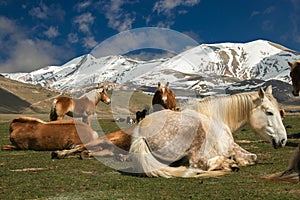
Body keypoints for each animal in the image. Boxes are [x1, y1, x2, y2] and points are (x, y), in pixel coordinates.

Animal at [129, 86, 288, 178]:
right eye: (269, 112)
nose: (283, 140)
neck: (217, 117)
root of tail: (140, 133)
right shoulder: (229, 146)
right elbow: (251, 157)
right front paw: (236, 161)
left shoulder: (233, 146)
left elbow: (253, 156)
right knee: (198, 164)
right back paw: (229, 164)